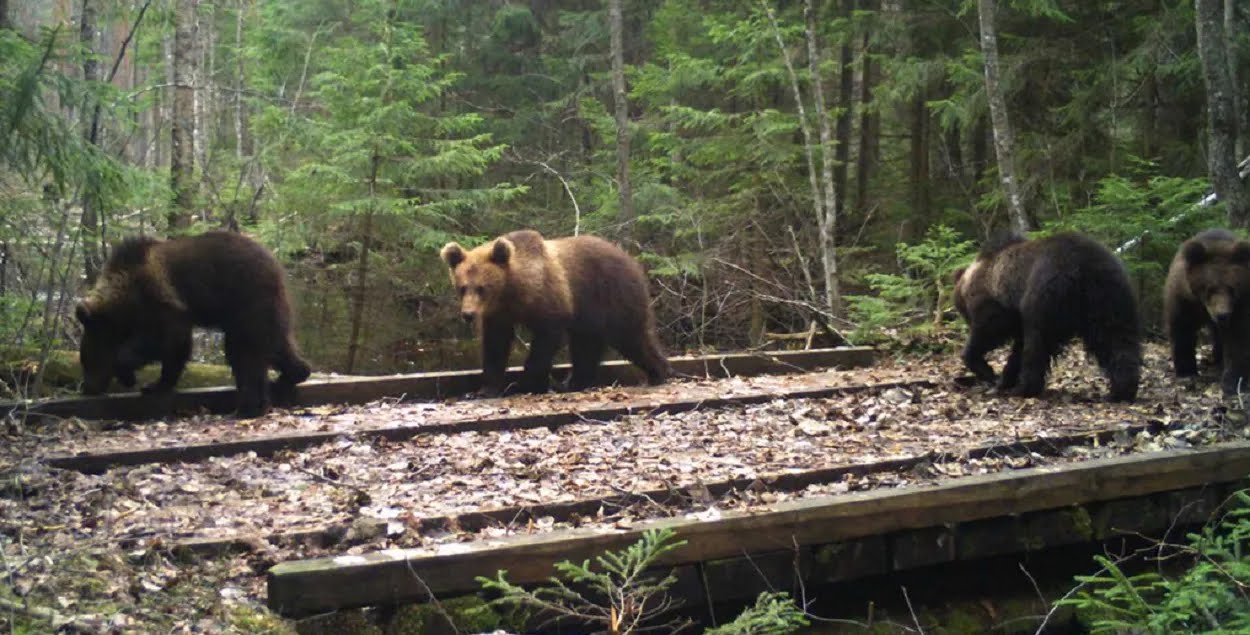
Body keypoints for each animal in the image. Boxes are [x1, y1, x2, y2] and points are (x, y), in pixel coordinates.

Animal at [75, 232, 310, 417]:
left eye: (88, 360)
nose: (87, 387)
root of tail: (276, 265)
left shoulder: (161, 303)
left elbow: (164, 341)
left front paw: (130, 375)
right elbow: (176, 349)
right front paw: (155, 385)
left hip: (248, 300)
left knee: (245, 353)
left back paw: (250, 407)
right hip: (265, 311)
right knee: (277, 345)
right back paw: (292, 374)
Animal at [442, 228, 675, 397]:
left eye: (482, 287)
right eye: (462, 287)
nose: (468, 314)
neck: (514, 291)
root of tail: (631, 259)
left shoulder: (551, 301)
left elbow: (545, 341)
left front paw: (527, 384)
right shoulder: (498, 316)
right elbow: (495, 346)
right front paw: (486, 389)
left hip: (612, 296)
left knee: (631, 337)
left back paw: (658, 372)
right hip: (590, 315)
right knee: (587, 346)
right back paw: (575, 383)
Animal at [950, 233, 1140, 400]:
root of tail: (1084, 267)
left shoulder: (996, 304)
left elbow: (990, 330)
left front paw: (989, 372)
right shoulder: (1017, 317)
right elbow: (1017, 346)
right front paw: (1004, 379)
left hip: (1046, 295)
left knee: (1037, 343)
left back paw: (1025, 388)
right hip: (1111, 298)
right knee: (1118, 339)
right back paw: (1122, 390)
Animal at [1160, 227, 1250, 392]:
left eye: (1232, 288)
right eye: (1210, 289)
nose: (1222, 315)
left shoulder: (1241, 304)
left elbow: (1238, 337)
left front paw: (1232, 381)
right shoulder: (1184, 299)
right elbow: (1182, 330)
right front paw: (1186, 371)